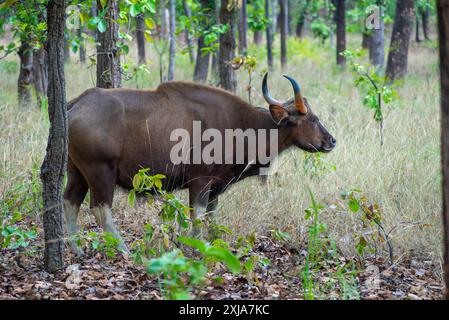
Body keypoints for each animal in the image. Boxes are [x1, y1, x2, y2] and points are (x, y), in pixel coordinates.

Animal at [65, 74, 334, 254]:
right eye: (312, 119)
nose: (331, 140)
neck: (242, 126)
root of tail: (77, 103)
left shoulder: (216, 186)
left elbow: (212, 217)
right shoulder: (200, 182)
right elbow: (198, 217)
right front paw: (197, 249)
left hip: (76, 172)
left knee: (70, 201)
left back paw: (75, 248)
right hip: (101, 172)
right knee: (100, 209)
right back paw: (123, 250)